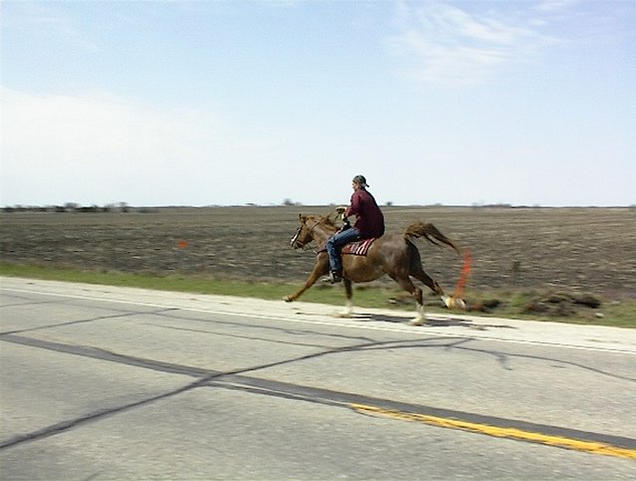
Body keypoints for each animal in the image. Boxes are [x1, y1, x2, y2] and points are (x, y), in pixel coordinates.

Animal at [286, 213, 460, 322]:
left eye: (298, 229)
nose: (293, 243)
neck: (326, 240)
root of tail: (404, 238)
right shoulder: (346, 277)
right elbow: (349, 294)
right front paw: (346, 313)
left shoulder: (319, 269)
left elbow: (307, 284)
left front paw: (289, 298)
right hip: (415, 269)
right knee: (433, 283)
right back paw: (452, 303)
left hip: (399, 275)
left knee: (417, 291)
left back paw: (418, 319)